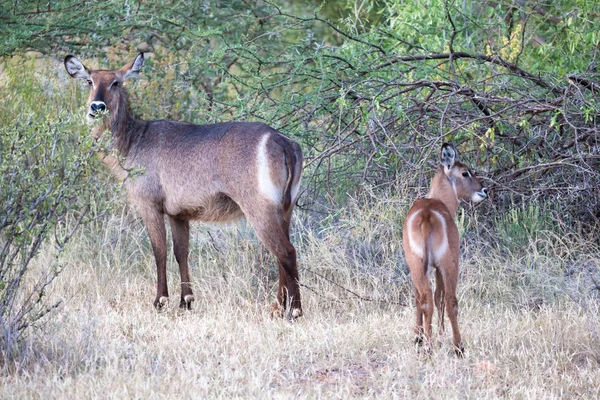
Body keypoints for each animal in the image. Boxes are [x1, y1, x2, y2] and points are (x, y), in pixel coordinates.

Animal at [64, 53, 304, 318]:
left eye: (116, 82)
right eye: (89, 81)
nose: (97, 107)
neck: (133, 141)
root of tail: (283, 142)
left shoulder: (148, 205)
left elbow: (159, 250)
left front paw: (160, 301)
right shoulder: (178, 213)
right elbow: (182, 252)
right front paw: (186, 301)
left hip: (259, 208)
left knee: (286, 252)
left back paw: (294, 311)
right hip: (286, 209)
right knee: (281, 255)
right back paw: (277, 308)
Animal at [400, 144, 486, 356]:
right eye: (465, 172)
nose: (484, 190)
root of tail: (426, 215)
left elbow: (419, 297)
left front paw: (418, 337)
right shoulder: (439, 267)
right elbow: (440, 297)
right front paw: (440, 337)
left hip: (417, 265)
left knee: (424, 299)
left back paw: (427, 345)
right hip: (449, 263)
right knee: (449, 300)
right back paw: (457, 347)